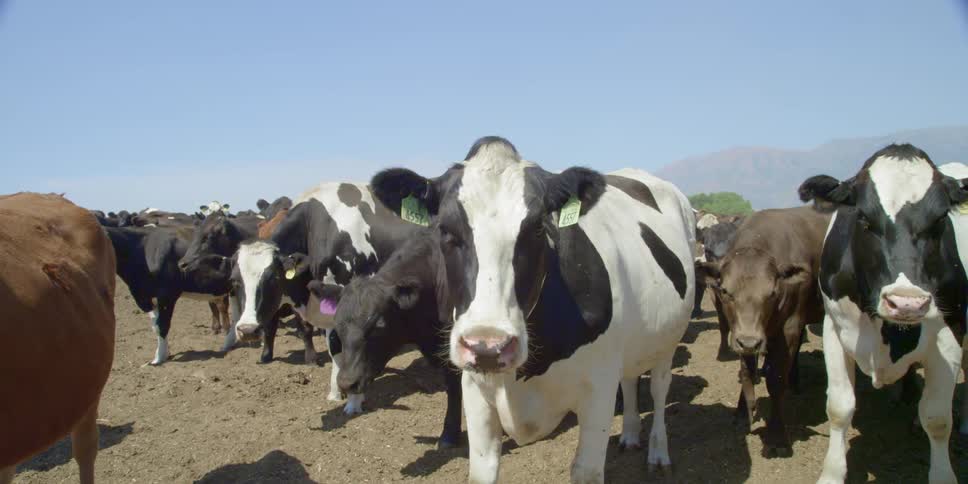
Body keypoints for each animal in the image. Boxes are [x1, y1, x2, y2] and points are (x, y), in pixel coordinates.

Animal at [105, 225, 232, 365]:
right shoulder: (145, 296)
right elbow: (155, 326)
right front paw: (166, 353)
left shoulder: (167, 295)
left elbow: (163, 325)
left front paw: (159, 358)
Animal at [228, 185, 423, 414]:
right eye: (235, 281)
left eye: (273, 278)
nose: (247, 330)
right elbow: (334, 349)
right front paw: (336, 393)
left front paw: (354, 401)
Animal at [370, 136, 696, 483]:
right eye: (444, 229)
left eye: (539, 227)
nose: (488, 347)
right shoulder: (475, 390)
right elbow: (482, 470)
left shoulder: (599, 389)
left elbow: (586, 470)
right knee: (632, 379)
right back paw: (631, 435)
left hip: (667, 341)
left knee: (659, 389)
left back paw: (658, 453)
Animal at [696, 206, 830, 456]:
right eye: (726, 291)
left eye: (772, 292)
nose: (750, 342)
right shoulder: (741, 333)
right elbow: (746, 372)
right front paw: (742, 413)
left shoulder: (790, 326)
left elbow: (776, 381)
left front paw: (777, 437)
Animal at [798, 144, 967, 484]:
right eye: (862, 217)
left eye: (941, 217)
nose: (906, 303)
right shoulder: (833, 328)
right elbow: (839, 407)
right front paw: (832, 473)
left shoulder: (951, 332)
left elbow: (937, 418)